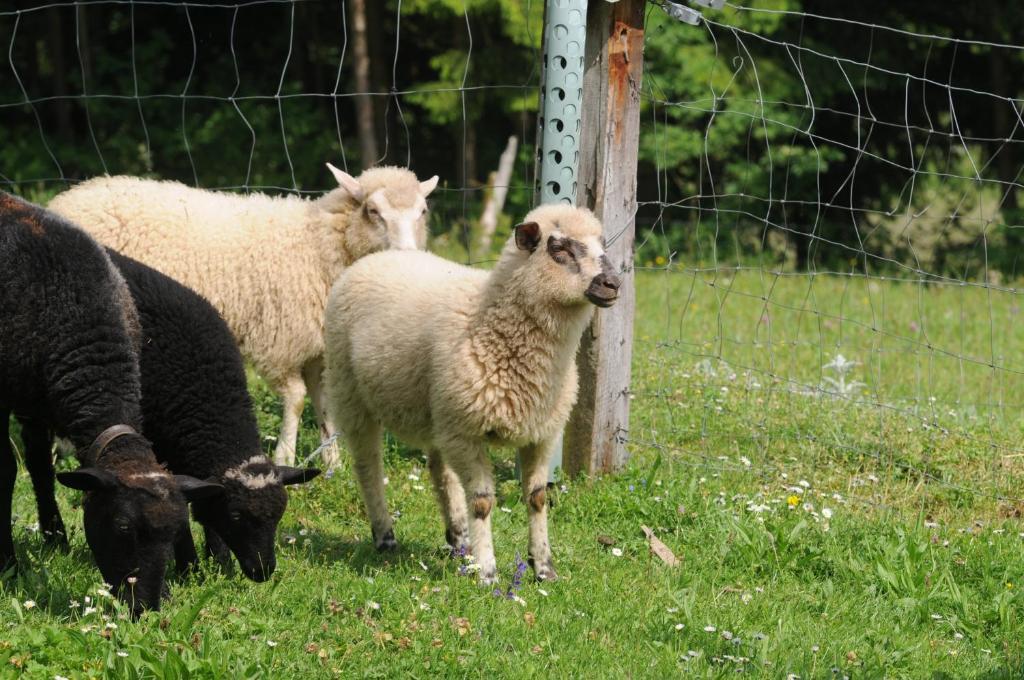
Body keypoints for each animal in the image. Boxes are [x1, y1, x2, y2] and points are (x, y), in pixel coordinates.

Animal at [48, 163, 436, 466]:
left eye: (422, 212)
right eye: (373, 211)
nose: (407, 255)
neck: (318, 244)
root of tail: (66, 200)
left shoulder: (318, 346)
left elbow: (324, 404)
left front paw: (333, 463)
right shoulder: (279, 338)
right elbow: (296, 399)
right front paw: (285, 457)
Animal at [323, 202, 618, 585]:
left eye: (602, 244)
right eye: (559, 250)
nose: (612, 284)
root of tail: (378, 256)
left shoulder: (542, 433)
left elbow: (538, 498)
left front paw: (543, 568)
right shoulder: (467, 433)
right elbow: (482, 502)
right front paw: (488, 573)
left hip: (437, 412)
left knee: (440, 471)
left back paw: (459, 540)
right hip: (352, 394)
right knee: (368, 465)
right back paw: (386, 537)